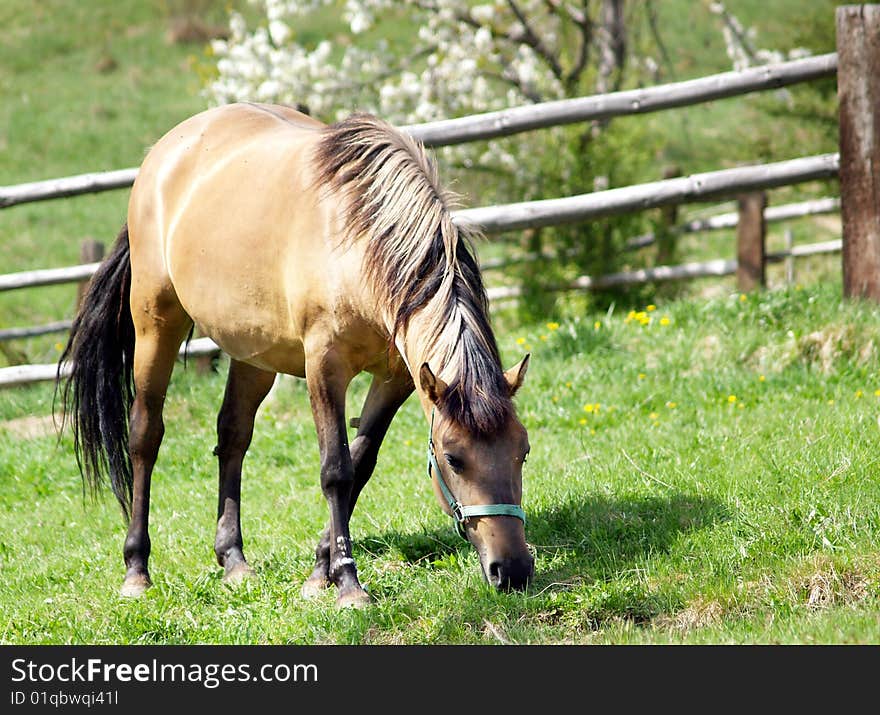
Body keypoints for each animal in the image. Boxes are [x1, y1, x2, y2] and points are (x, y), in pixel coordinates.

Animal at [60, 103, 536, 608]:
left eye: (522, 452)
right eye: (453, 458)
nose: (512, 571)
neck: (358, 238)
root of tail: (163, 153)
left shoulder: (397, 378)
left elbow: (361, 463)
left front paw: (319, 571)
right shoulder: (324, 366)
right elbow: (336, 470)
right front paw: (347, 584)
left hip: (253, 352)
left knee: (233, 436)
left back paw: (233, 561)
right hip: (156, 325)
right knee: (145, 436)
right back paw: (137, 570)